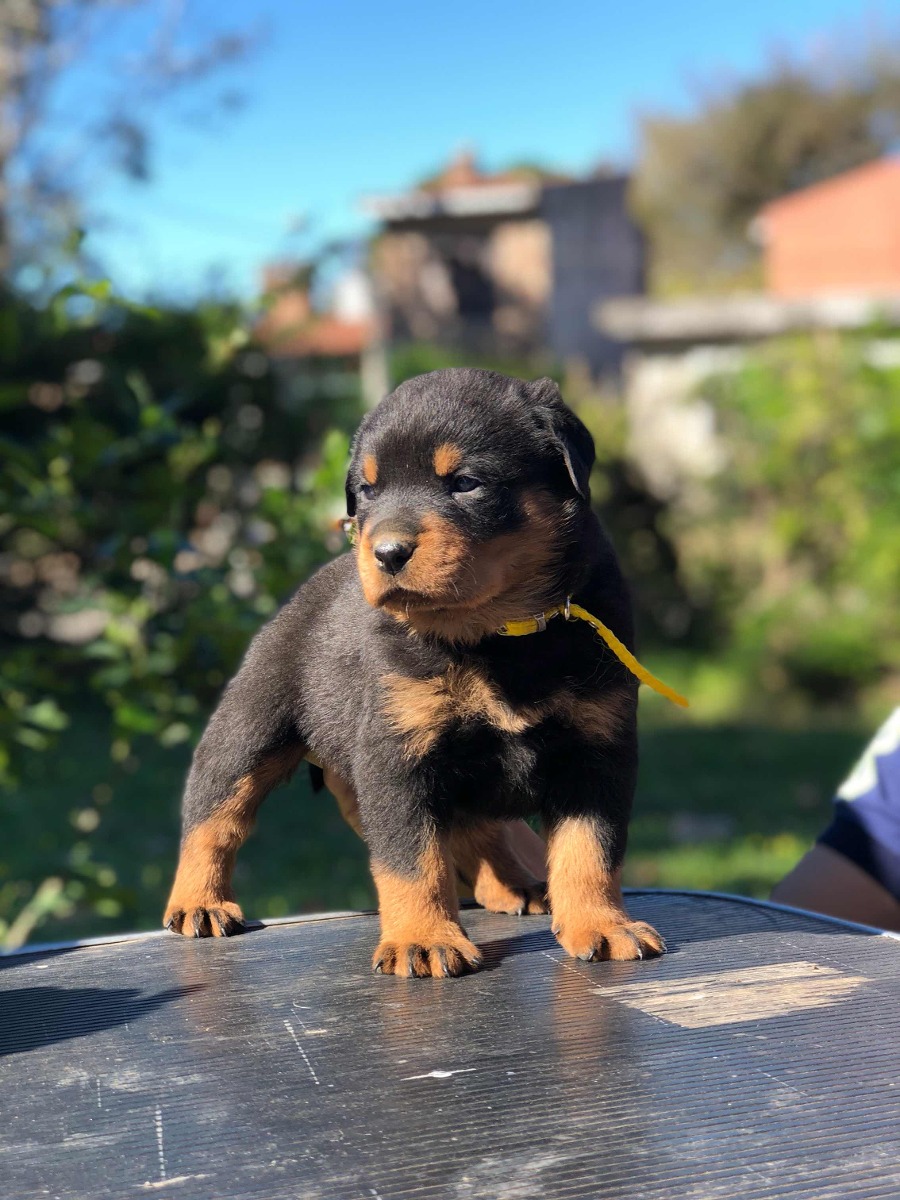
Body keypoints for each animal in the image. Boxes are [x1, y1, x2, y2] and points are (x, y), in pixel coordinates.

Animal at [165, 369, 667, 979]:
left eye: (466, 483)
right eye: (368, 491)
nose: (385, 551)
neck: (494, 635)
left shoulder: (597, 749)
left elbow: (590, 849)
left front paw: (602, 924)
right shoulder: (398, 750)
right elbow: (412, 859)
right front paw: (423, 939)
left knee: (477, 824)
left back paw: (515, 885)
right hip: (250, 727)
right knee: (213, 813)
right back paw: (199, 902)